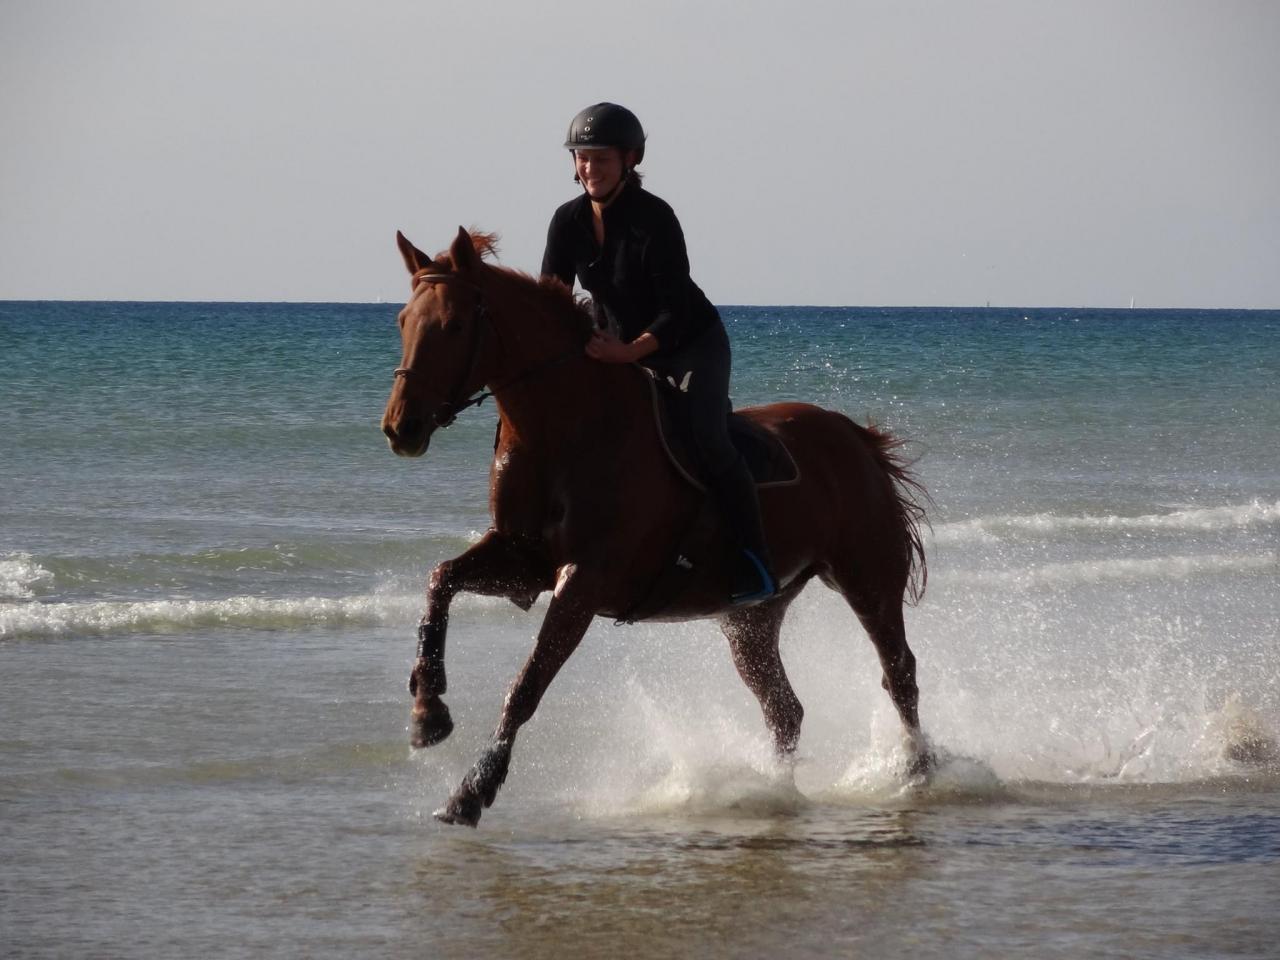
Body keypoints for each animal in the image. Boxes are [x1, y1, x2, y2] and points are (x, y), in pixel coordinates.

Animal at [378, 227, 931, 829]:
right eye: (403, 321)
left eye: (455, 325)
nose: (401, 428)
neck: (568, 430)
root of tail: (857, 438)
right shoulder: (524, 565)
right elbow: (441, 580)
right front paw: (428, 712)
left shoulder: (584, 582)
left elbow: (526, 686)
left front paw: (472, 790)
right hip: (751, 620)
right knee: (784, 708)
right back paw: (773, 791)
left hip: (866, 579)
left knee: (899, 671)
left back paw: (915, 771)